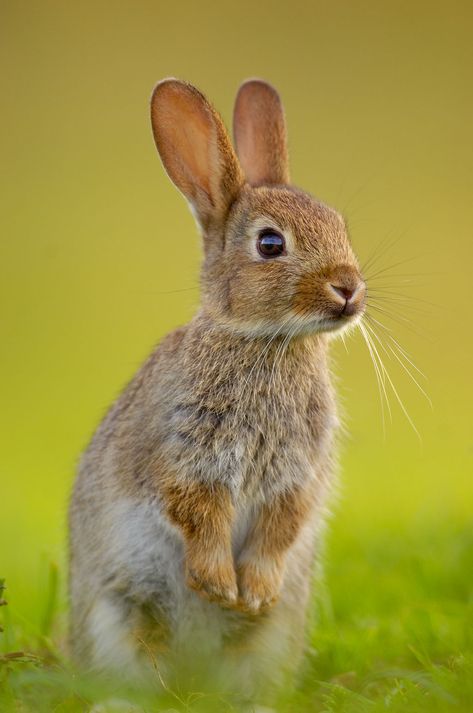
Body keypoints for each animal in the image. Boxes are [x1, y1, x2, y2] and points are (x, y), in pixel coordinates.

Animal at [68, 76, 366, 700]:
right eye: (270, 244)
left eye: (340, 226)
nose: (349, 288)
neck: (266, 341)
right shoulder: (184, 453)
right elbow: (197, 514)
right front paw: (218, 585)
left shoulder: (298, 475)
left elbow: (282, 525)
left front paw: (251, 591)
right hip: (119, 613)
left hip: (271, 637)